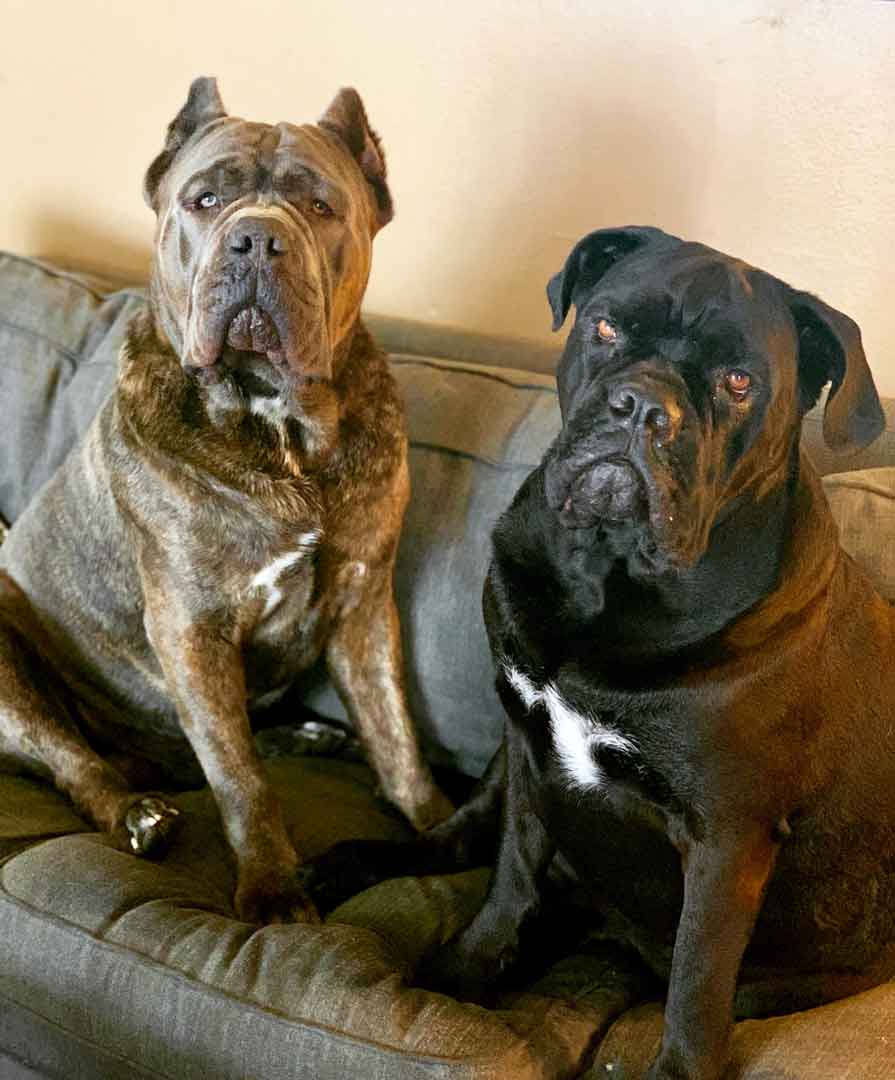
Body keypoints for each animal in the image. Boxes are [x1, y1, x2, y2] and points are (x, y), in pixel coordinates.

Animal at [0, 78, 451, 920]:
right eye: (203, 200)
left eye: (319, 206)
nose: (256, 241)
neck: (278, 425)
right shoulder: (191, 624)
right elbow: (240, 777)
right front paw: (272, 890)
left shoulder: (364, 604)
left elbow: (395, 733)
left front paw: (438, 825)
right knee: (80, 762)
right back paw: (137, 815)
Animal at [308, 223, 893, 1075]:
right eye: (607, 327)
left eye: (739, 382)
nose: (643, 406)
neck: (609, 576)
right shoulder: (528, 746)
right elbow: (510, 874)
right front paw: (466, 971)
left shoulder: (725, 839)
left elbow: (695, 982)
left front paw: (678, 1067)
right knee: (463, 834)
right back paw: (356, 863)